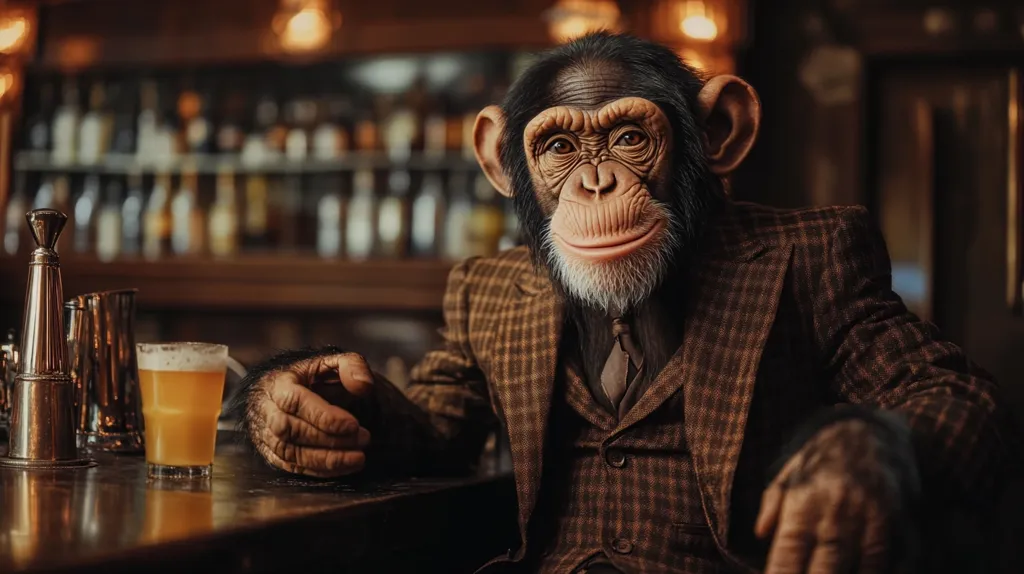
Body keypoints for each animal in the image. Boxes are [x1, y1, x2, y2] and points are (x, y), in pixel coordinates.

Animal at [234, 32, 1017, 574]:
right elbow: (445, 413)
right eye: (558, 147)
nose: (597, 183)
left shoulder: (846, 270)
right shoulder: (469, 307)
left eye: (628, 138)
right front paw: (297, 404)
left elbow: (936, 381)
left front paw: (841, 479)